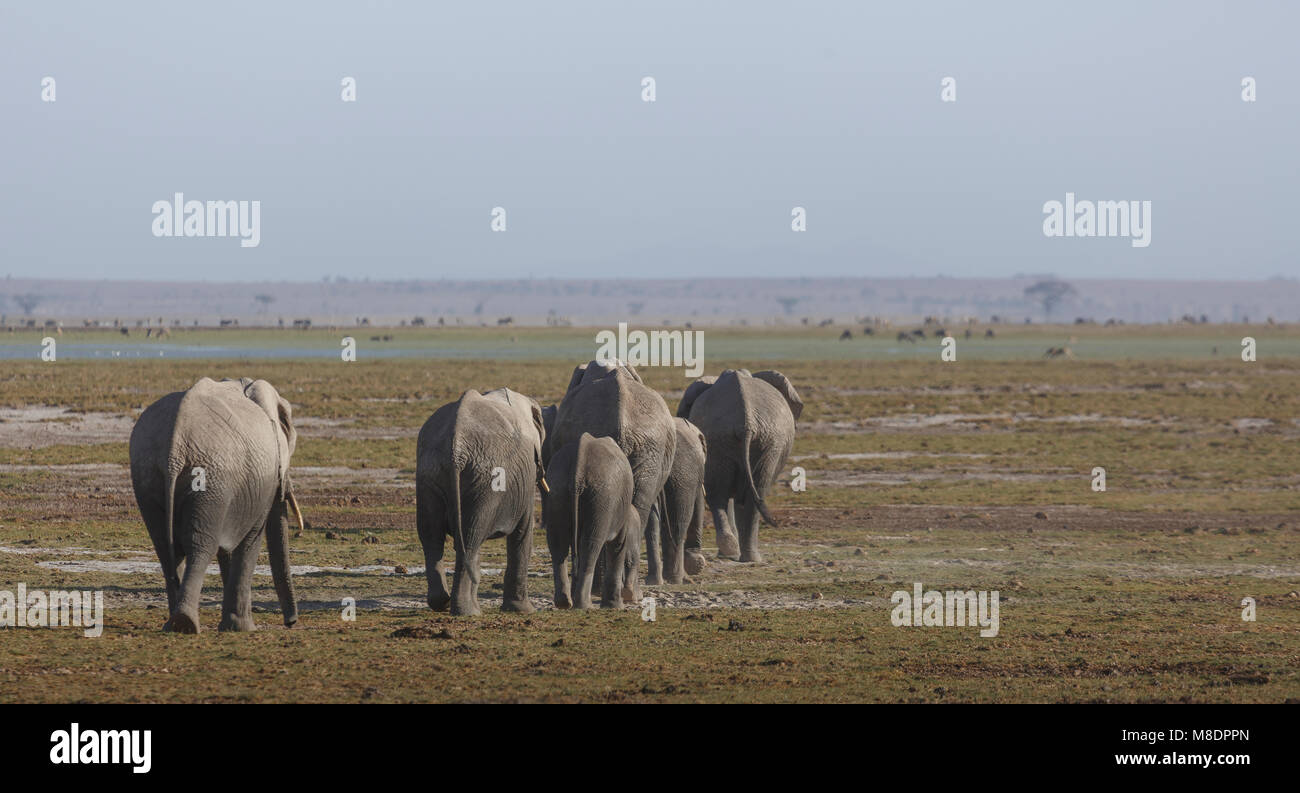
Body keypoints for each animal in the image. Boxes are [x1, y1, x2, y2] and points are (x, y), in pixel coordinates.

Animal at [129, 377, 303, 634]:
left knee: (165, 548)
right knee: (201, 545)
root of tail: (174, 451)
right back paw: (186, 624)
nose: (291, 622)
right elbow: (249, 540)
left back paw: (174, 623)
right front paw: (243, 628)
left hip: (147, 475)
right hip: (212, 478)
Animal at [416, 387, 546, 616]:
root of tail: (456, 449)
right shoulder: (527, 475)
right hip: (486, 481)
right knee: (471, 537)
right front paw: (525, 611)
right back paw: (469, 612)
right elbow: (523, 532)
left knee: (432, 536)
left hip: (429, 473)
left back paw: (444, 603)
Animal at [542, 433, 640, 609]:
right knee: (591, 544)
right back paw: (585, 605)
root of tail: (579, 469)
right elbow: (618, 545)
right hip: (602, 498)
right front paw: (615, 606)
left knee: (558, 543)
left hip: (556, 491)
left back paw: (564, 603)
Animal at [549, 360, 676, 596]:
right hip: (649, 449)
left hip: (648, 447)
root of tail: (622, 422)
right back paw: (628, 590)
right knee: (638, 509)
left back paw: (612, 589)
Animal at [678, 369, 803, 563]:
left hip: (756, 440)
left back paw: (739, 552)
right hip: (734, 440)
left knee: (735, 495)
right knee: (741, 494)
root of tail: (747, 422)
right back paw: (745, 555)